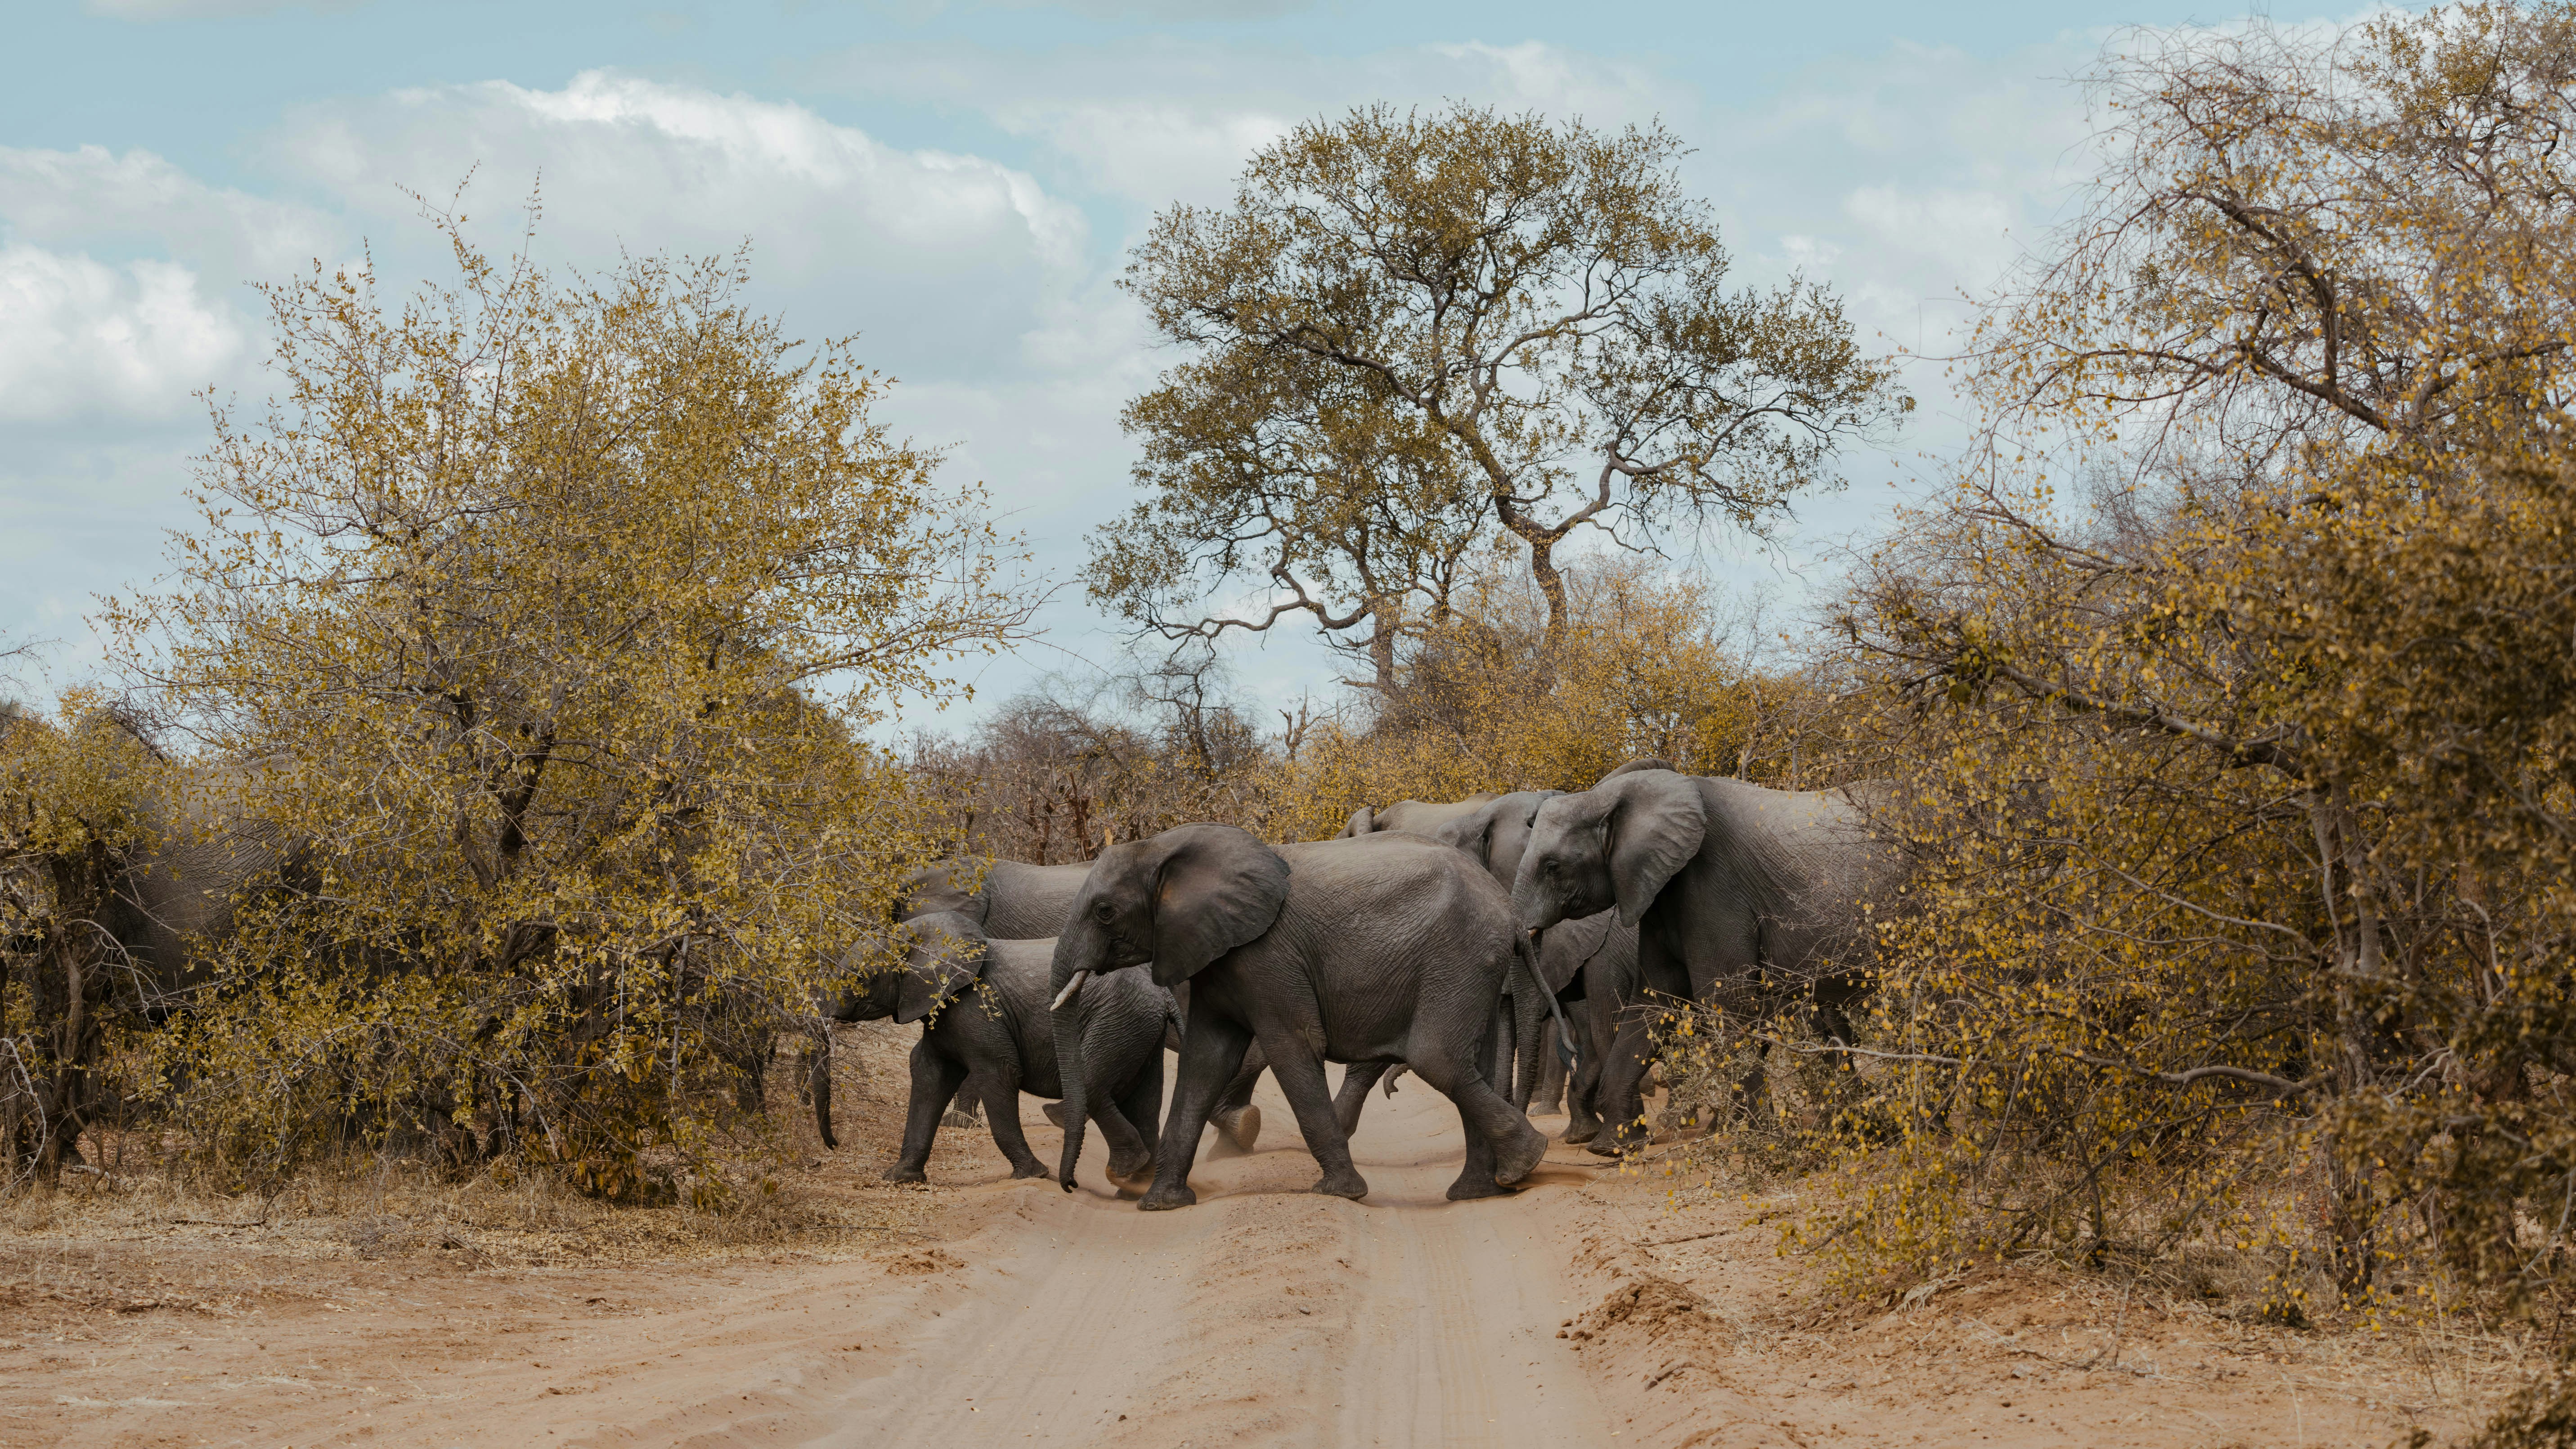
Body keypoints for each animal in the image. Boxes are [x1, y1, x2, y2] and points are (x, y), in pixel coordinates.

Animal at [813, 912, 1174, 1185]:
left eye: (861, 979)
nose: (834, 1145)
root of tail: (1160, 992)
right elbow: (929, 1075)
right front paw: (900, 1178)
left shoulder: (976, 1008)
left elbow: (998, 1074)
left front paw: (1033, 1175)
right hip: (1137, 1027)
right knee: (1142, 1100)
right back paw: (1138, 1177)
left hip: (1116, 1018)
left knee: (1095, 1088)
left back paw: (1121, 1167)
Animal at [1048, 825, 1547, 1208]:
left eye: (1105, 911)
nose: (1069, 1186)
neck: (1163, 846)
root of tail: (1510, 912)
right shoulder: (1217, 956)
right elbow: (1204, 1064)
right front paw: (1161, 1204)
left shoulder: (1268, 957)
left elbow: (1292, 1049)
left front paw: (1340, 1193)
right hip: (1474, 966)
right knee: (1472, 1064)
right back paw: (1480, 1190)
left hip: (1458, 957)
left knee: (1437, 1059)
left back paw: (1527, 1161)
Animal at [1510, 765, 1902, 1155]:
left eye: (1552, 866)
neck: (1610, 793)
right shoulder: (1661, 894)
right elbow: (1654, 1001)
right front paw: (1614, 1147)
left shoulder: (1713, 887)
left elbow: (1723, 1002)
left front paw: (1763, 1143)